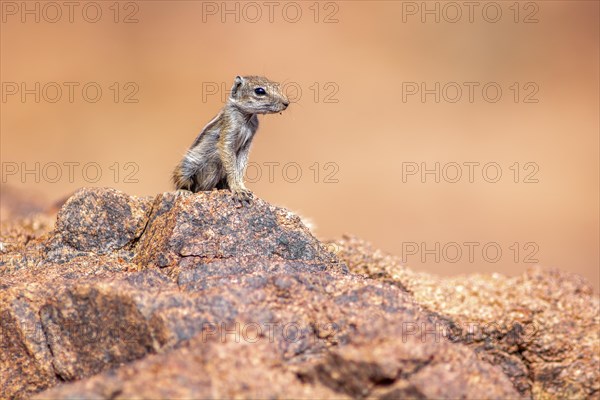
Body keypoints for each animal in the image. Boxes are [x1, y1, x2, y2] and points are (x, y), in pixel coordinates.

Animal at [172, 76, 290, 205]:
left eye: (277, 85)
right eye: (259, 91)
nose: (286, 103)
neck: (246, 117)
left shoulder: (246, 144)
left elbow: (241, 166)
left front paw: (242, 187)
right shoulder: (228, 134)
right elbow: (231, 164)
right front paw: (238, 190)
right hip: (187, 167)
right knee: (182, 183)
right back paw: (183, 191)